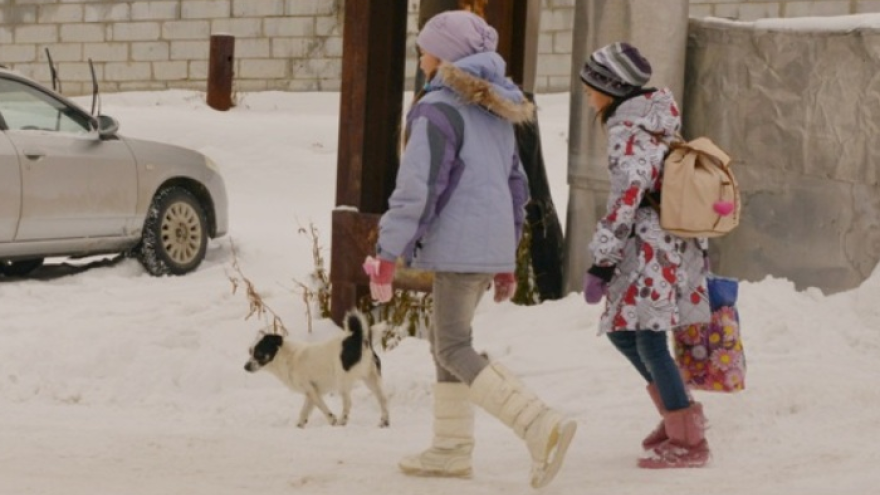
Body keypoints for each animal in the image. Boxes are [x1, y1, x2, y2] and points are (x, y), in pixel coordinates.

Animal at [242, 312, 390, 428]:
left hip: (343, 382)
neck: (286, 357)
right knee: (382, 399)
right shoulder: (311, 392)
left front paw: (332, 420)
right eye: (250, 352)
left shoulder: (311, 390)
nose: (245, 367)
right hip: (371, 379)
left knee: (348, 403)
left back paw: (342, 421)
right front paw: (300, 425)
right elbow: (304, 411)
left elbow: (321, 407)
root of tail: (356, 339)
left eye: (259, 353)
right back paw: (385, 421)